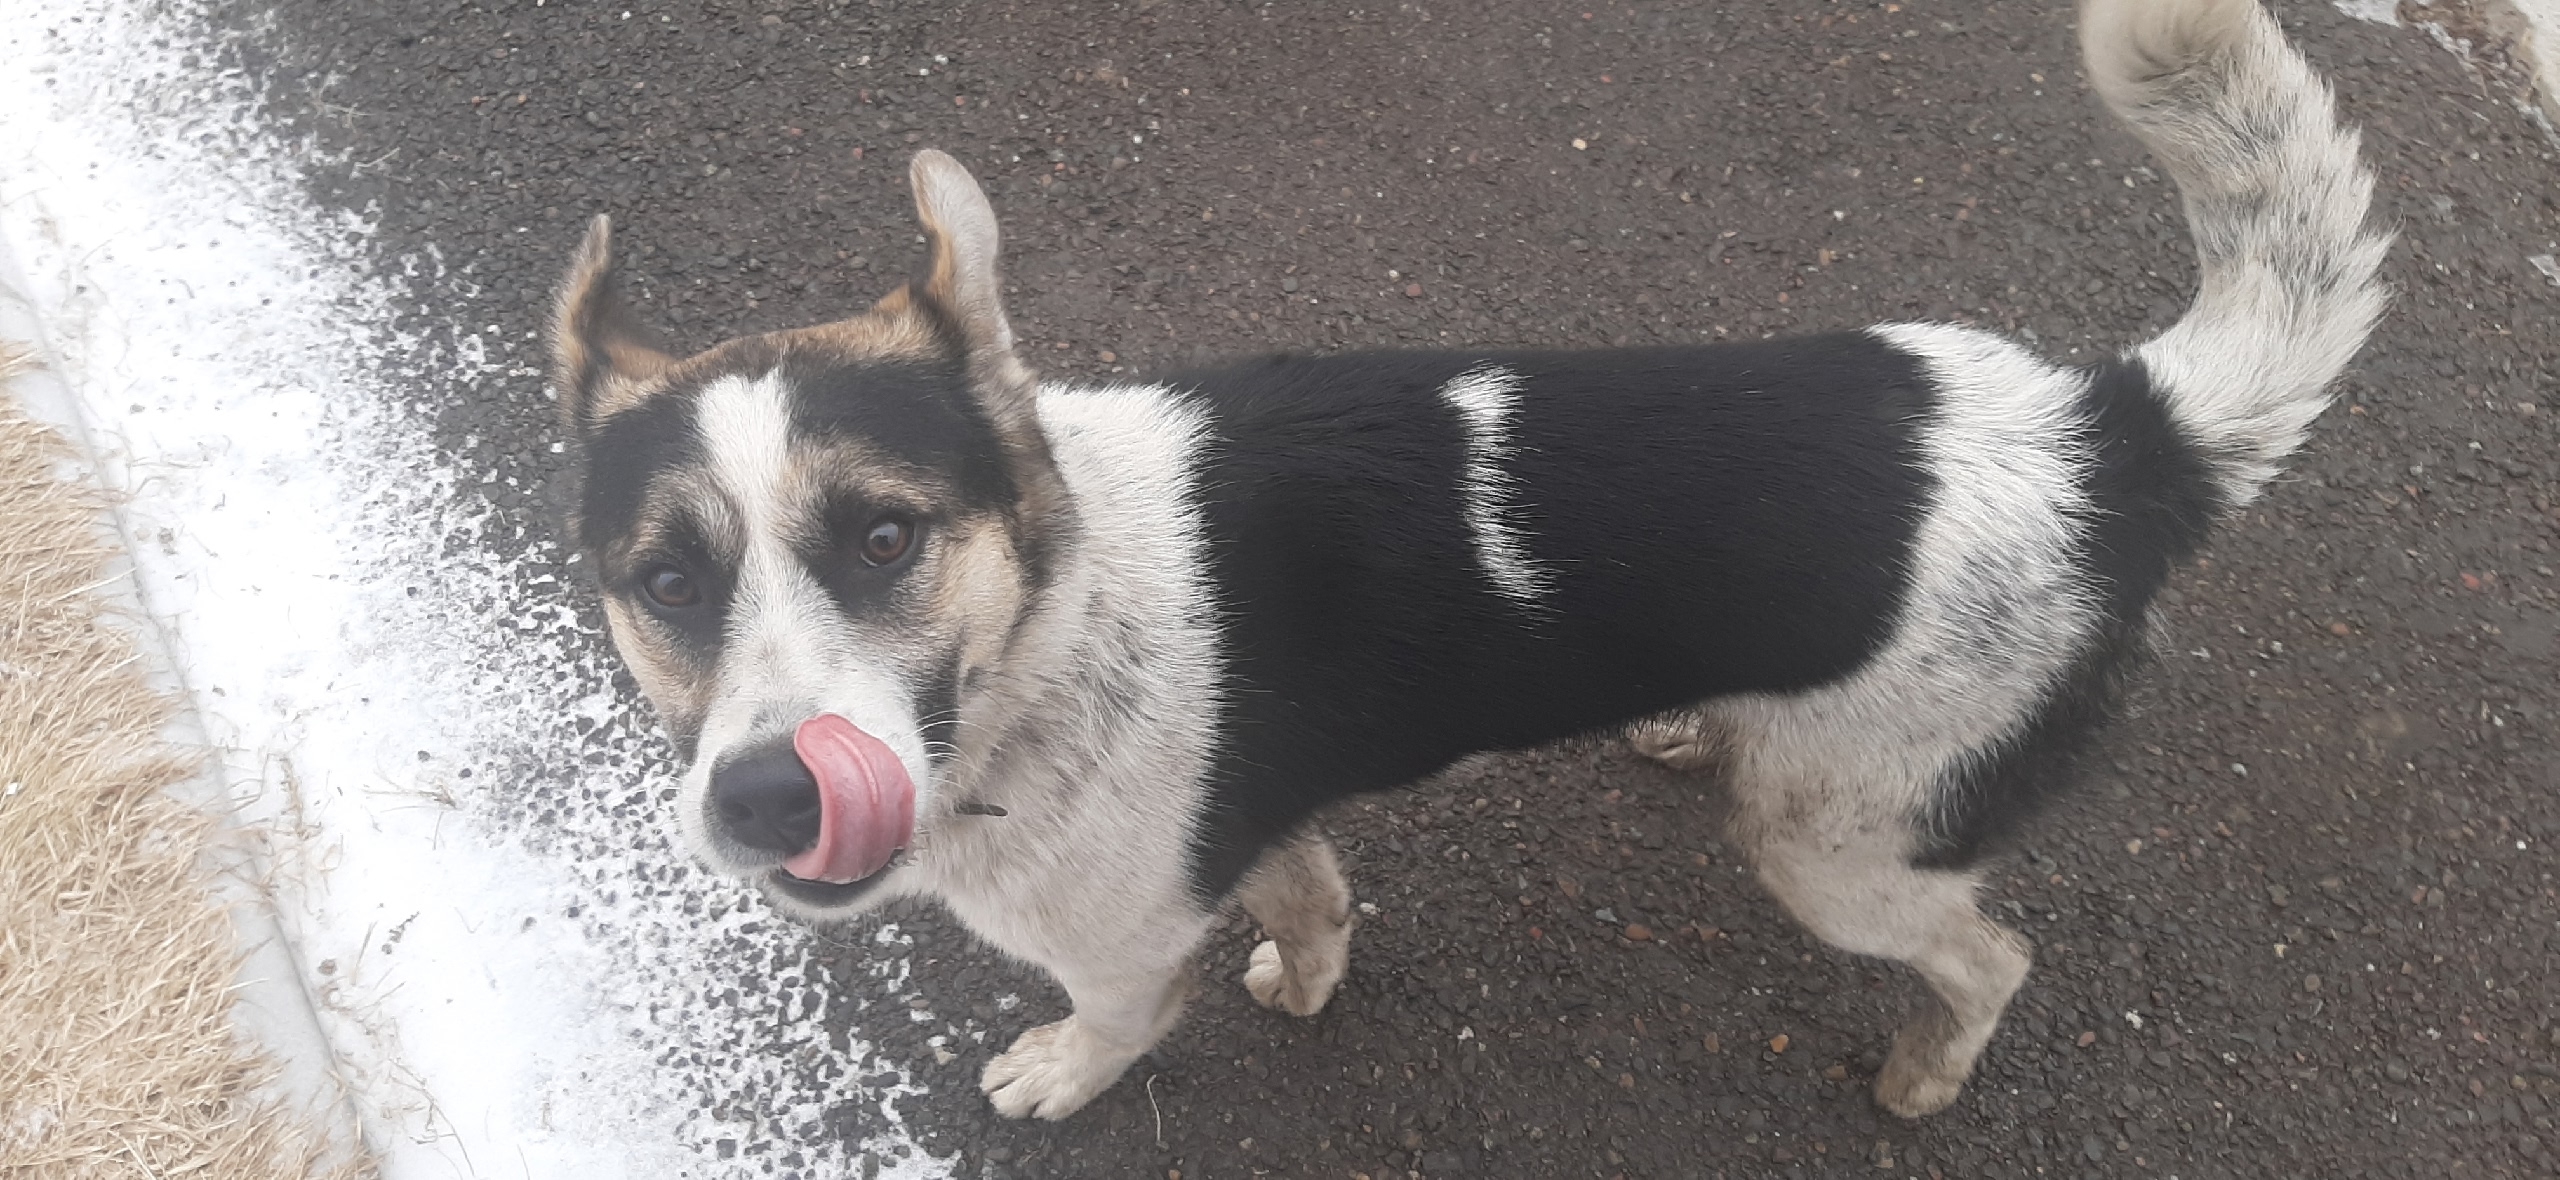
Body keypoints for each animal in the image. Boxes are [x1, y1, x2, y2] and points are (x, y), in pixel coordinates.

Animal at [546, 0, 2384, 1121]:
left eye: (884, 536)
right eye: (666, 582)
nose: (766, 801)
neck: (1050, 632)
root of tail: (2112, 432)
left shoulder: (1122, 945)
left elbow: (1116, 1025)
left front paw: (1060, 1076)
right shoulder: (1266, 826)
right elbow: (1315, 913)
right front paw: (1304, 980)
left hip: (1842, 851)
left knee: (1991, 959)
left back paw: (1930, 1075)